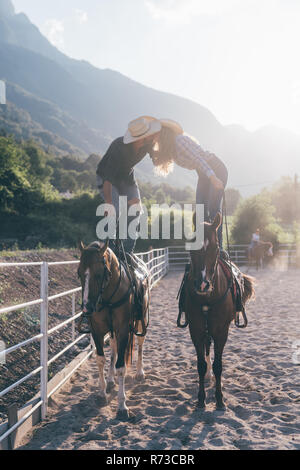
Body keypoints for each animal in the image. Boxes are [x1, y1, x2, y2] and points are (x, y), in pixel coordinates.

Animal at [77, 241, 150, 416]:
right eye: (79, 273)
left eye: (99, 274)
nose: (87, 308)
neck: (108, 298)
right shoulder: (97, 331)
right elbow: (101, 359)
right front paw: (102, 393)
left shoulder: (123, 330)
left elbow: (121, 367)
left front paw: (122, 406)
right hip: (112, 332)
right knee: (114, 348)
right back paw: (110, 380)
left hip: (141, 319)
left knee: (140, 343)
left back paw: (139, 373)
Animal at [183, 213, 255, 408]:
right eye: (191, 247)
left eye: (215, 248)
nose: (202, 284)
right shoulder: (196, 330)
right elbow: (201, 364)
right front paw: (201, 399)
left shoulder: (221, 331)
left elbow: (218, 365)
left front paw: (219, 399)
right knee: (207, 349)